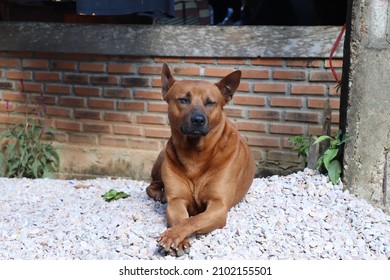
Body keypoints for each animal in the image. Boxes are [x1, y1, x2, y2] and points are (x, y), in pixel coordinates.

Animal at [145, 63, 253, 256]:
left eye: (210, 102)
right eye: (183, 100)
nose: (198, 120)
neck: (195, 154)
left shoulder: (218, 206)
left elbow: (191, 221)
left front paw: (173, 235)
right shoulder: (177, 201)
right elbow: (181, 219)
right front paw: (178, 238)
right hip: (163, 156)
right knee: (150, 187)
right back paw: (160, 195)